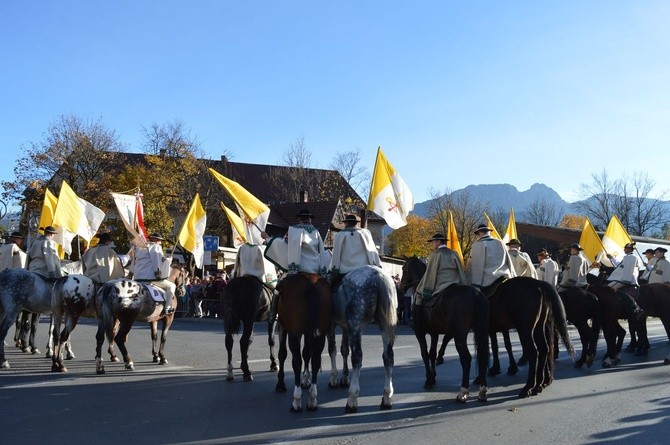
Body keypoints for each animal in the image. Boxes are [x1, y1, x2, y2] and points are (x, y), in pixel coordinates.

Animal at [274, 270, 332, 412]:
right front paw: (306, 380)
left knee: (296, 361)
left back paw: (296, 401)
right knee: (315, 360)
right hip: (320, 333)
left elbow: (282, 354)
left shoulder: (282, 327)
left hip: (294, 333)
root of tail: (311, 284)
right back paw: (312, 399)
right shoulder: (308, 332)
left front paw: (280, 384)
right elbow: (307, 353)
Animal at [330, 264, 400, 412]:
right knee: (388, 357)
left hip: (356, 327)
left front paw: (334, 378)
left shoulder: (332, 325)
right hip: (385, 326)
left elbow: (332, 349)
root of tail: (379, 276)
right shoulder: (345, 327)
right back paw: (386, 398)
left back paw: (352, 400)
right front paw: (344, 378)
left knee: (357, 357)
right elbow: (344, 350)